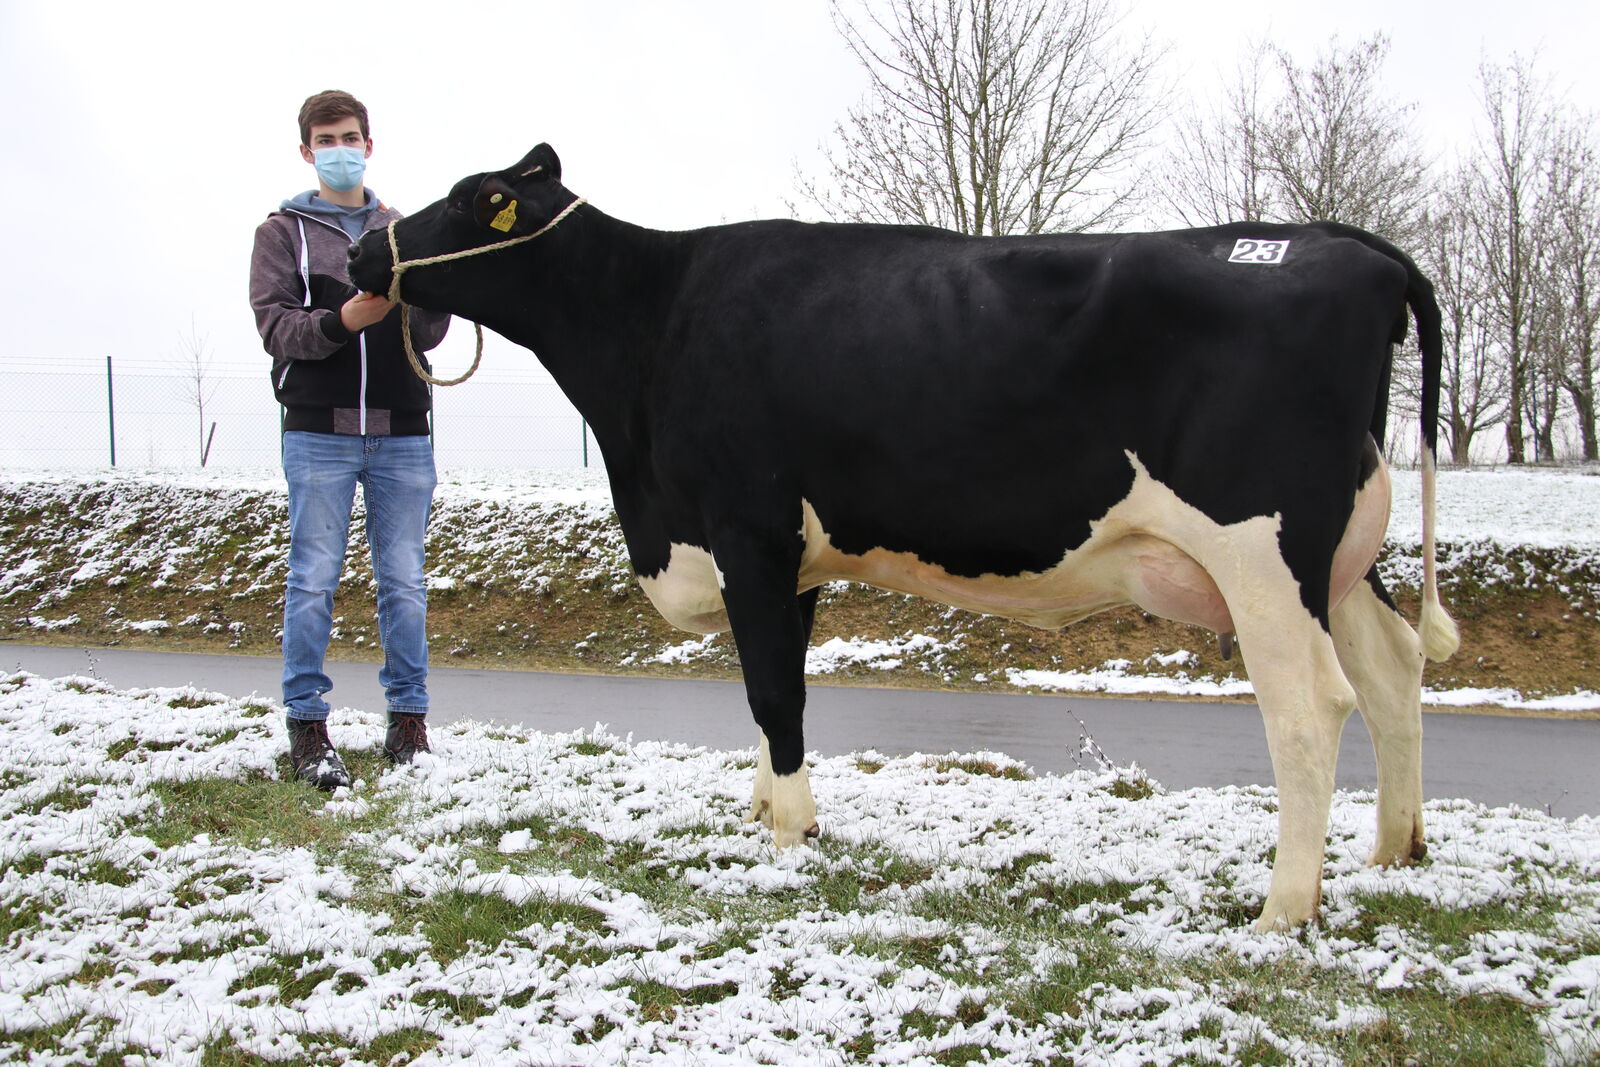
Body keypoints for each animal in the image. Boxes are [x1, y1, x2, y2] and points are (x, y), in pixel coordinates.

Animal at [353, 143, 1465, 927]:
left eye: (468, 197)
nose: (364, 248)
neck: (655, 323)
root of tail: (1347, 244)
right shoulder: (788, 555)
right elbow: (777, 688)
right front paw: (769, 810)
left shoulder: (748, 527)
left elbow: (773, 689)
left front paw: (791, 839)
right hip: (1340, 552)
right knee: (1392, 666)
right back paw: (1392, 850)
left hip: (1260, 550)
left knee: (1310, 707)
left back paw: (1283, 908)